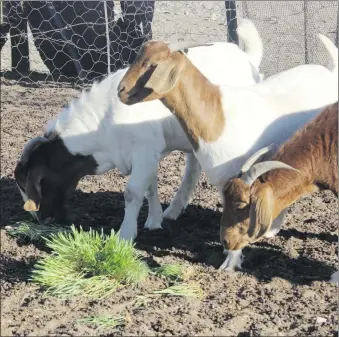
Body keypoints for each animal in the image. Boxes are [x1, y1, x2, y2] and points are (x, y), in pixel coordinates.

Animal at [14, 18, 266, 240]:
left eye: (33, 184)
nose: (41, 219)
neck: (103, 127)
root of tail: (246, 57)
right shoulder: (148, 155)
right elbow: (150, 187)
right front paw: (154, 221)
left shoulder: (144, 151)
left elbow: (133, 192)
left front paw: (125, 234)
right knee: (193, 166)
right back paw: (174, 209)